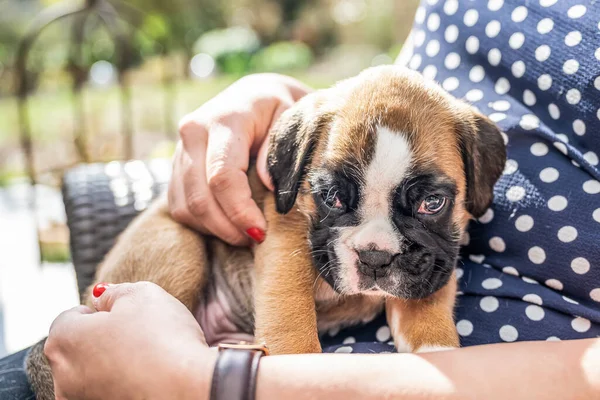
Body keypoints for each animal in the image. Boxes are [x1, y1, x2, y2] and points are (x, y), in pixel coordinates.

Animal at [25, 66, 504, 400]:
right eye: (331, 198)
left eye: (432, 204)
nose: (375, 256)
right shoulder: (285, 239)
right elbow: (290, 313)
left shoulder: (435, 261)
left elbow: (426, 307)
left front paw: (437, 352)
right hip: (179, 246)